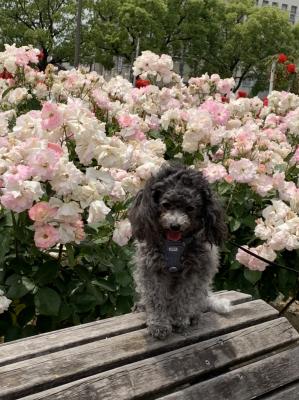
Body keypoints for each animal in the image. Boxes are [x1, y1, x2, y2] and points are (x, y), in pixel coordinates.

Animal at [129, 164, 232, 340]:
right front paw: (159, 325)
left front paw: (179, 320)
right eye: (166, 204)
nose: (175, 226)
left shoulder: (194, 272)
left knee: (198, 302)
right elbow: (156, 298)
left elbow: (184, 297)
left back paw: (193, 316)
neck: (174, 244)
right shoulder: (152, 270)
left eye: (190, 208)